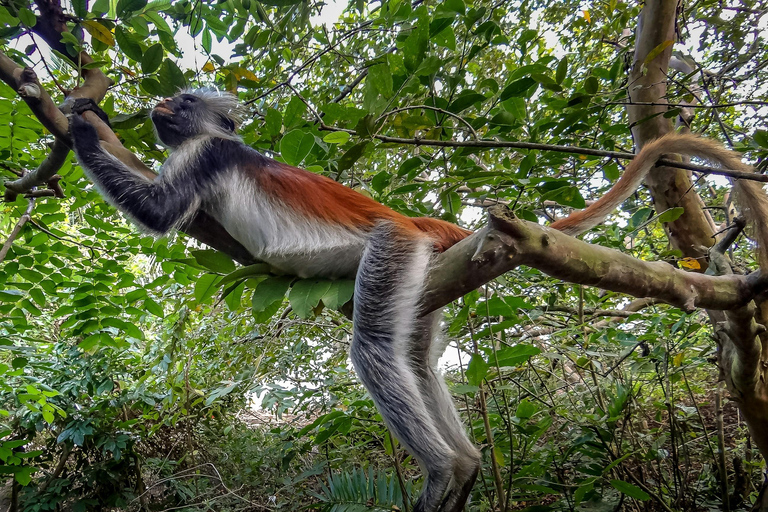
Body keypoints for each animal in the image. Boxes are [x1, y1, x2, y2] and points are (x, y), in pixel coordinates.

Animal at [69, 90, 768, 510]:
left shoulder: (204, 152)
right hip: (426, 274)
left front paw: (81, 122)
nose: (159, 106)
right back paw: (467, 465)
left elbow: (159, 210)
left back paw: (445, 470)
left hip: (394, 247)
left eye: (182, 103)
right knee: (416, 359)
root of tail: (414, 220)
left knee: (376, 348)